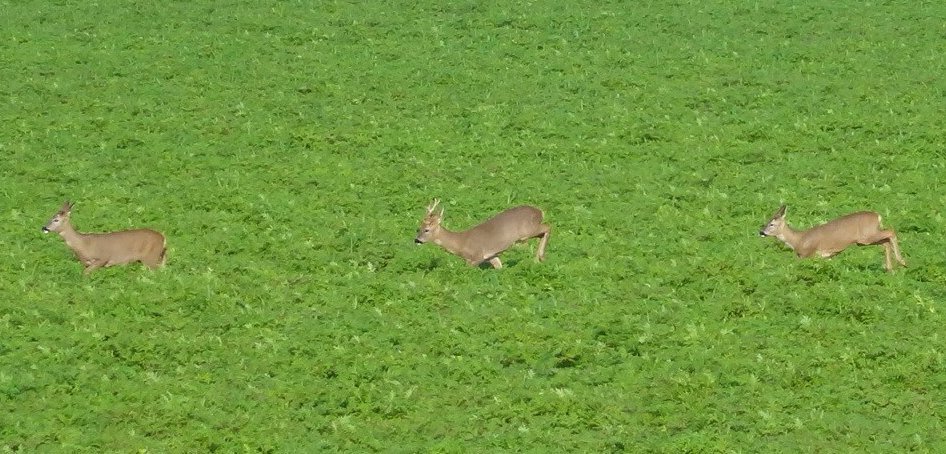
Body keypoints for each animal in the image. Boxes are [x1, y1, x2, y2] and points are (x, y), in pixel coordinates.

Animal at [414, 199, 551, 269]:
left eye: (427, 230)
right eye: (418, 228)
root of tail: (540, 211)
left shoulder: (476, 256)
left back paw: (540, 258)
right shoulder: (491, 256)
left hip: (527, 230)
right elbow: (499, 267)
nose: (416, 240)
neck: (460, 243)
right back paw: (538, 259)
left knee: (548, 227)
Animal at [759, 204, 906, 272]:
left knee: (891, 232)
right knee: (885, 242)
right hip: (866, 239)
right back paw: (890, 268)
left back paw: (902, 262)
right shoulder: (826, 257)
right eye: (767, 221)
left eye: (772, 224)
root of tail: (877, 215)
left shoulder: (808, 255)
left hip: (867, 236)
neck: (798, 239)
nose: (761, 232)